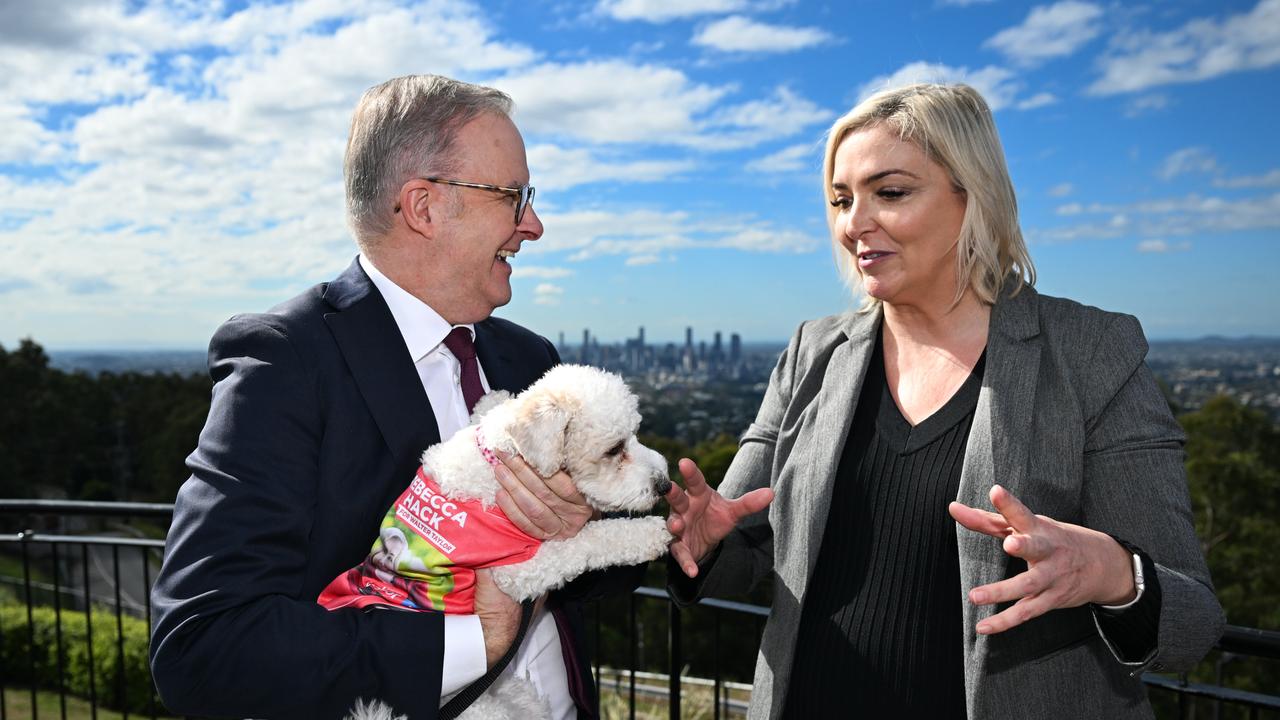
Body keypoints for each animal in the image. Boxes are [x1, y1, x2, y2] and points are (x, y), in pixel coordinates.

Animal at [345, 363, 675, 717]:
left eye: (636, 433)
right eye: (614, 449)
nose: (664, 485)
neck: (498, 461)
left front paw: (492, 401)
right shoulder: (515, 572)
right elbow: (588, 541)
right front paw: (648, 533)